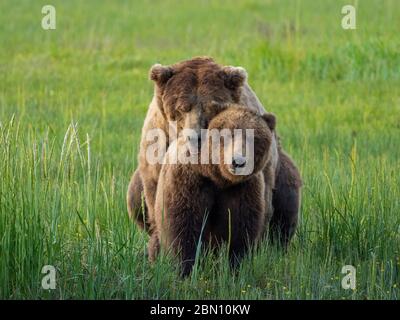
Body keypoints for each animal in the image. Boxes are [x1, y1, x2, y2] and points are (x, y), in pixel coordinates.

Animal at [150, 105, 278, 276]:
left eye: (254, 139)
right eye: (228, 134)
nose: (238, 162)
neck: (217, 177)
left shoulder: (241, 190)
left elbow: (239, 229)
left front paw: (235, 267)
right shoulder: (188, 182)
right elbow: (183, 226)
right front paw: (186, 269)